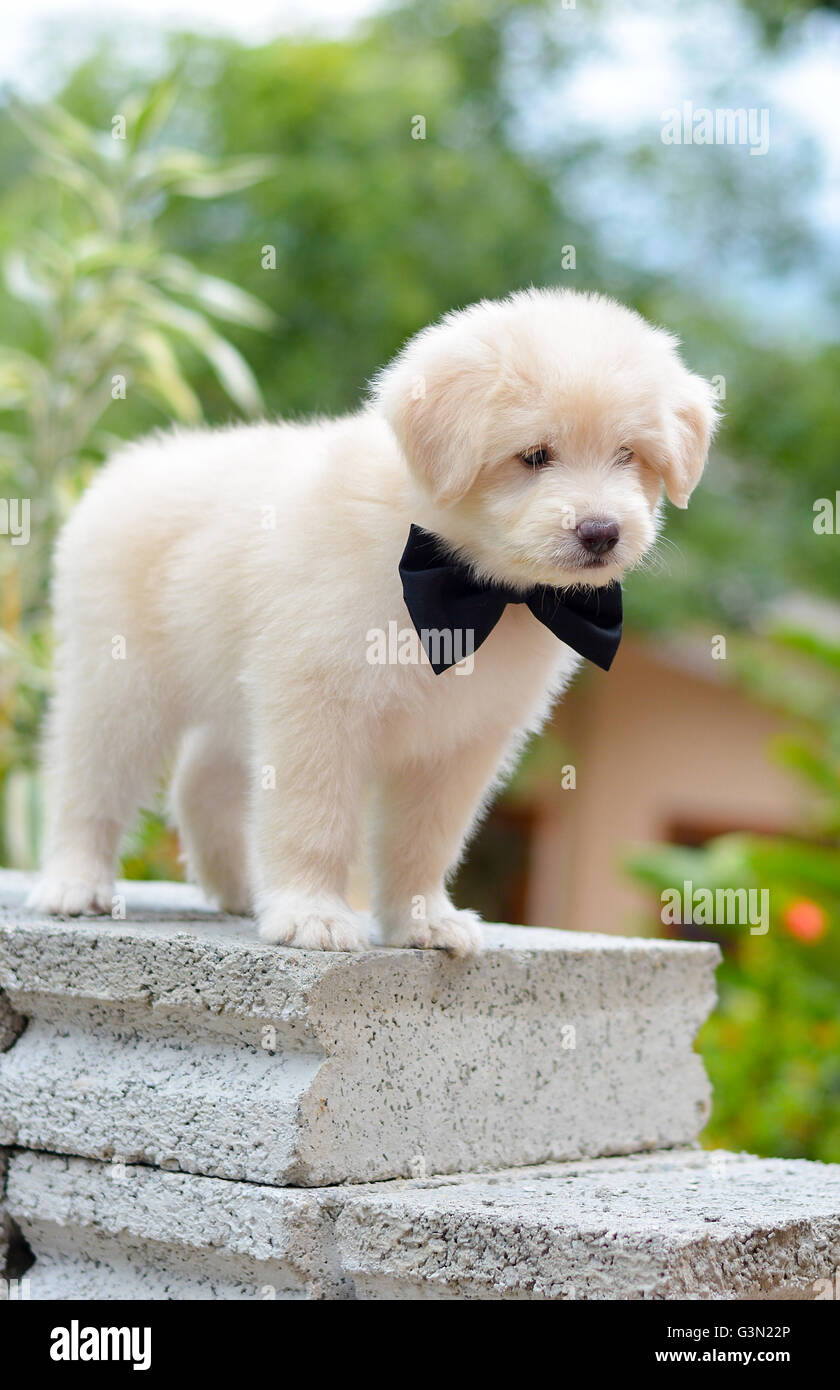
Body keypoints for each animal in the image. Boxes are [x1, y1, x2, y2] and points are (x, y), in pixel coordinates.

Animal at [29, 287, 717, 950]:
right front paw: (311, 915)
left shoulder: (462, 740)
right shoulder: (317, 705)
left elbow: (425, 837)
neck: (461, 577)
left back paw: (240, 889)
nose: (601, 532)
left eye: (628, 454)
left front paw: (422, 921)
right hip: (118, 682)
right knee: (85, 781)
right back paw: (74, 883)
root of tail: (126, 466)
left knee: (199, 783)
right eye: (534, 455)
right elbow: (314, 818)